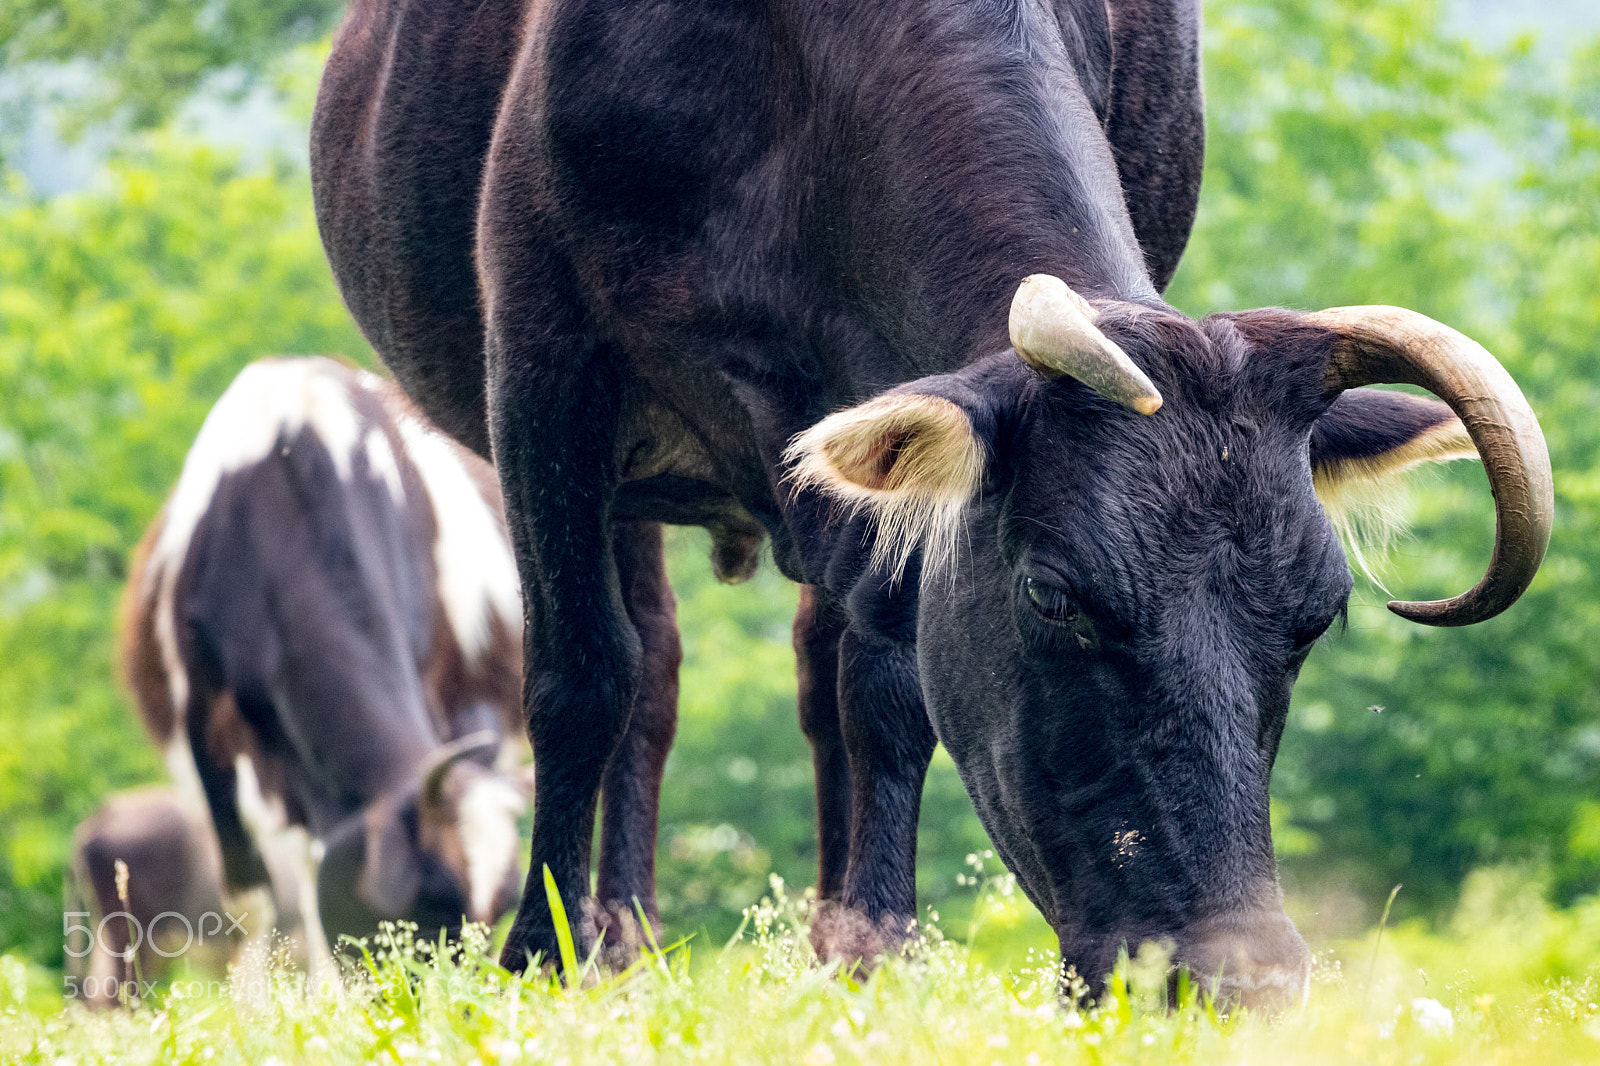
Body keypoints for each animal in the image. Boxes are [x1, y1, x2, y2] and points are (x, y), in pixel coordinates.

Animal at [309, 0, 1552, 1007]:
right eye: (1055, 596)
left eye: (1315, 616)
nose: (1230, 978)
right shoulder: (544, 360)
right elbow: (579, 673)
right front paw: (539, 954)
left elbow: (886, 692)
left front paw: (876, 950)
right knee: (645, 667)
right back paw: (619, 938)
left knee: (811, 674)